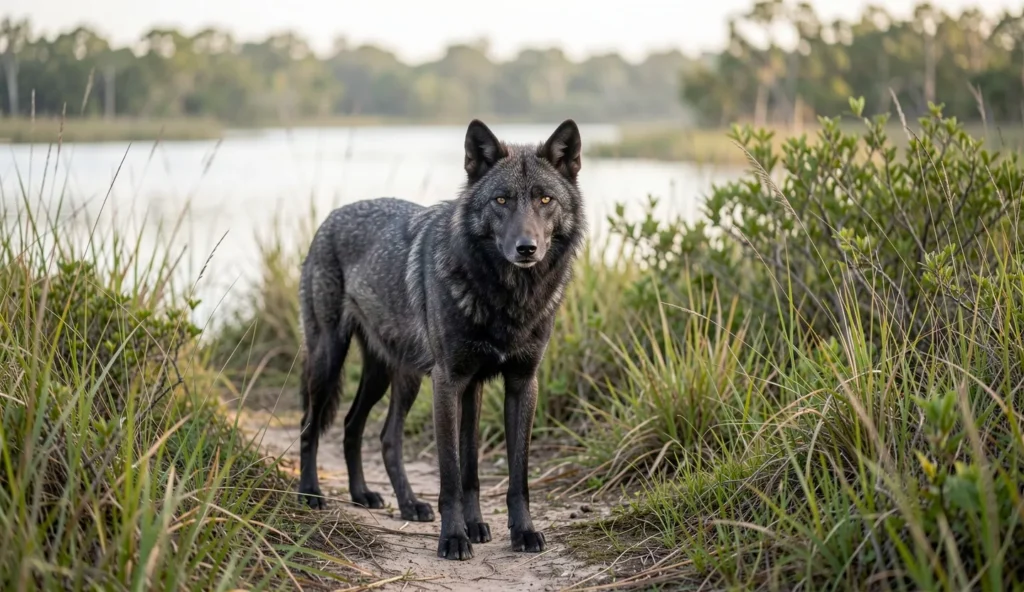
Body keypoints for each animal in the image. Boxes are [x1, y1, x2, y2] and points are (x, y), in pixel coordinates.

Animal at [296, 119, 585, 560]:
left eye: (545, 199)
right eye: (501, 200)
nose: (527, 248)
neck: (506, 299)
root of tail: (331, 217)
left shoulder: (515, 384)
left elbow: (500, 473)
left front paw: (513, 531)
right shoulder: (449, 382)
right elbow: (451, 472)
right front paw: (454, 537)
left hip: (395, 377)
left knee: (366, 430)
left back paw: (383, 498)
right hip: (330, 360)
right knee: (310, 426)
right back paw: (311, 493)